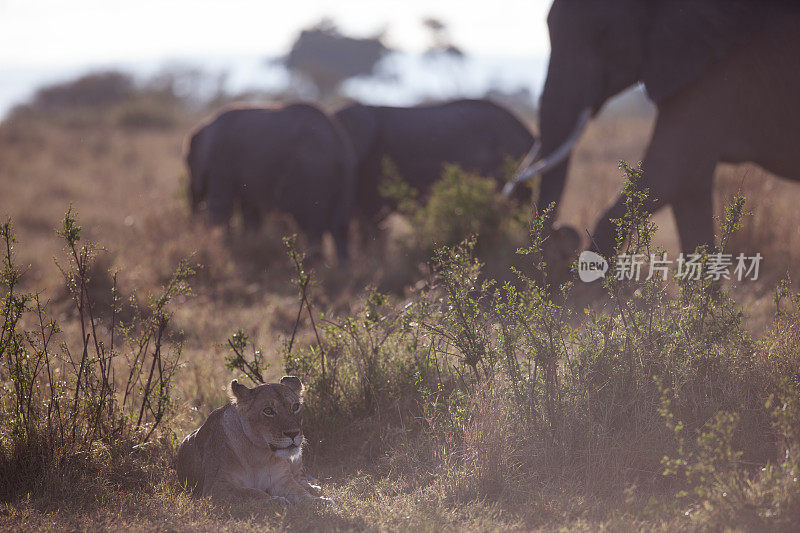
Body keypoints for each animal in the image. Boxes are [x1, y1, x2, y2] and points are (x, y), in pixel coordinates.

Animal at [186, 102, 354, 260]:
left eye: (188, 163)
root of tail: (339, 145)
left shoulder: (221, 160)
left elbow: (220, 209)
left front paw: (224, 248)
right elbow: (250, 213)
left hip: (315, 175)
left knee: (313, 225)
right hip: (344, 177)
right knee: (340, 227)